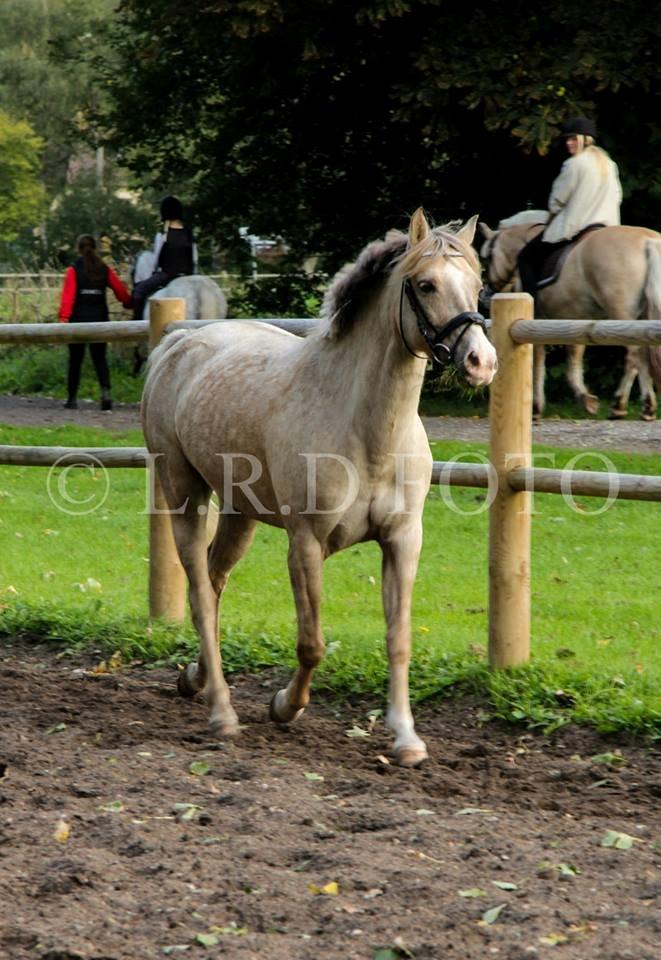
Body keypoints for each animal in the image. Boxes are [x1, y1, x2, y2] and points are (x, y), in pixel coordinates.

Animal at [143, 210, 496, 764]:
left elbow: (398, 639)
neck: (367, 432)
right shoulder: (305, 545)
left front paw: (406, 739)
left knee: (215, 583)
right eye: (426, 284)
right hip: (184, 495)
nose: (482, 361)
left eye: (478, 287)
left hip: (240, 513)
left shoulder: (403, 541)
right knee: (200, 590)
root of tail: (175, 345)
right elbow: (311, 643)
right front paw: (284, 706)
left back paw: (194, 679)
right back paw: (222, 711)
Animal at [476, 216, 660, 418]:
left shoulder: (537, 322)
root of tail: (649, 241)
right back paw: (623, 405)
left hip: (621, 313)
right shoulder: (576, 319)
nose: (484, 295)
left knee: (636, 354)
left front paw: (536, 407)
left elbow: (538, 360)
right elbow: (575, 355)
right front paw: (585, 398)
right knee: (637, 357)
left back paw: (641, 405)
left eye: (486, 258)